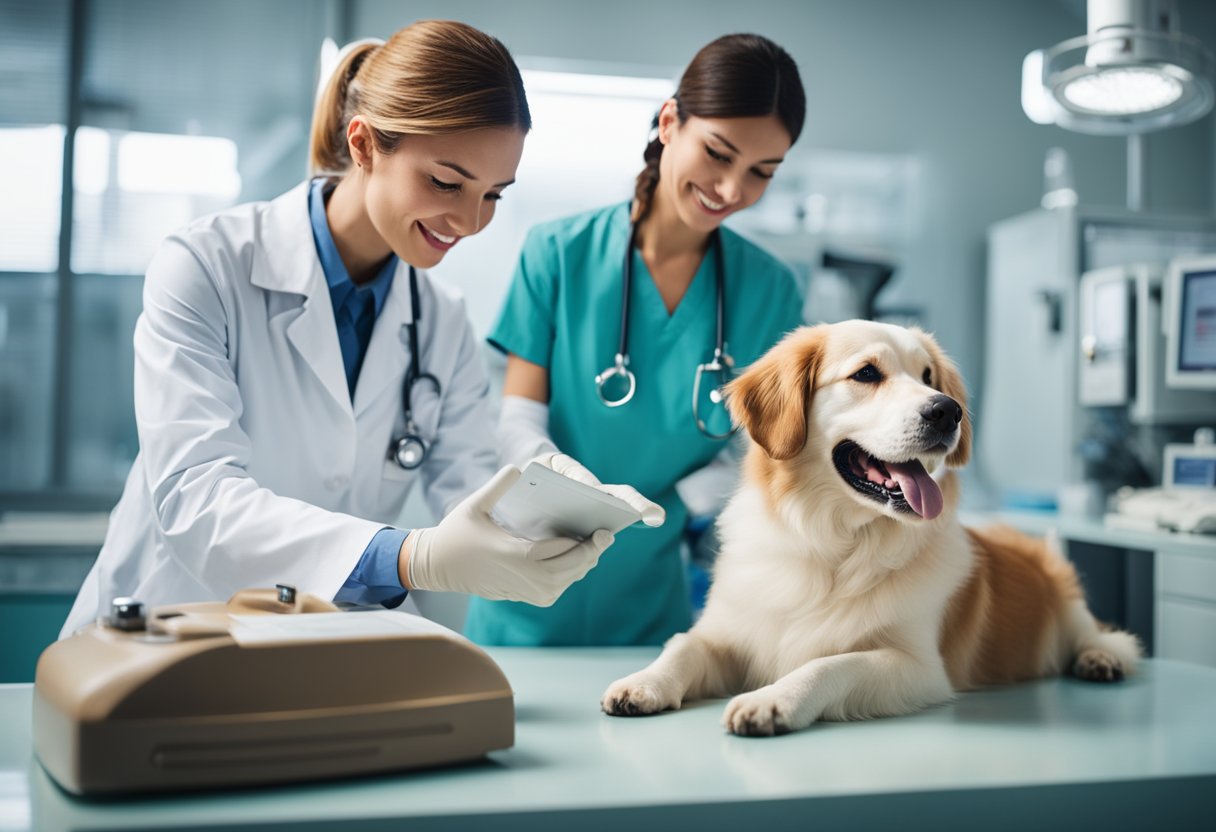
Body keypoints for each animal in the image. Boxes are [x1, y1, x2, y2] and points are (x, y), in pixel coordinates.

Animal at [603, 321, 1143, 739]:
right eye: (866, 373)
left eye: (929, 377)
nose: (947, 410)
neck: (835, 541)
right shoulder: (728, 634)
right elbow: (683, 645)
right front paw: (644, 682)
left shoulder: (919, 667)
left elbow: (831, 662)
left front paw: (772, 700)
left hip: (1066, 603)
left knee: (1096, 633)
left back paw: (1100, 658)